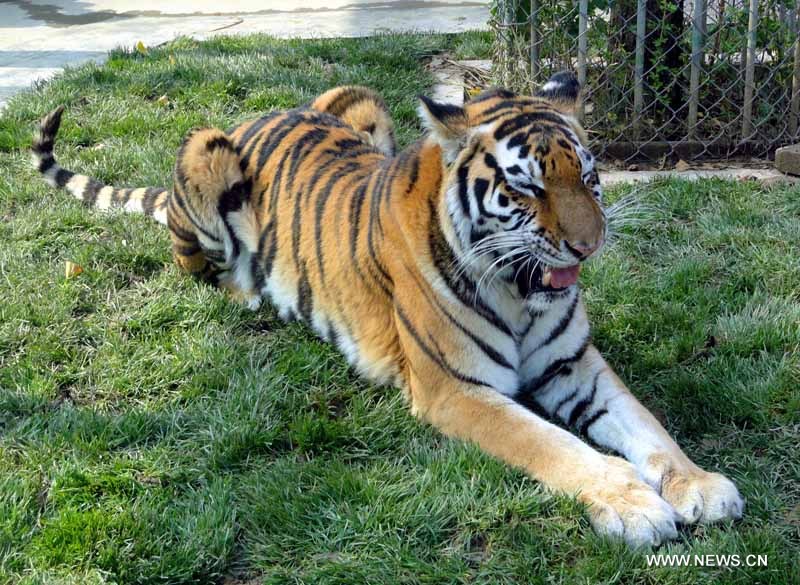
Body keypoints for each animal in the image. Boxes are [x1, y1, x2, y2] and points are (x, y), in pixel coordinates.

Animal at [32, 73, 744, 548]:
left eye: (590, 177)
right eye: (527, 187)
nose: (589, 244)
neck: (518, 291)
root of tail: (254, 118)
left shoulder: (574, 365)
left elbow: (648, 427)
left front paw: (699, 485)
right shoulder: (457, 390)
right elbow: (554, 446)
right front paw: (632, 504)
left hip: (354, 98)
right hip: (206, 155)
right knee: (196, 265)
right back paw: (249, 288)